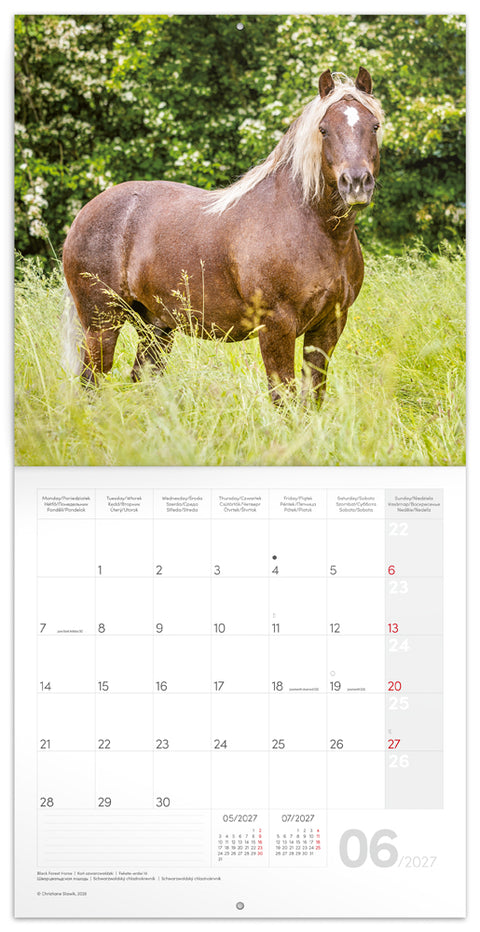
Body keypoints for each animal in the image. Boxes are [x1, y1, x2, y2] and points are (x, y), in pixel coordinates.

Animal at [62, 67, 384, 404]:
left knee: (143, 377)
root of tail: (85, 214)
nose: (356, 183)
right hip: (102, 324)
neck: (315, 230)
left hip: (156, 327)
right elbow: (283, 397)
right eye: (323, 130)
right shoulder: (276, 327)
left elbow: (313, 396)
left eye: (373, 125)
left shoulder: (329, 325)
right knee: (91, 379)